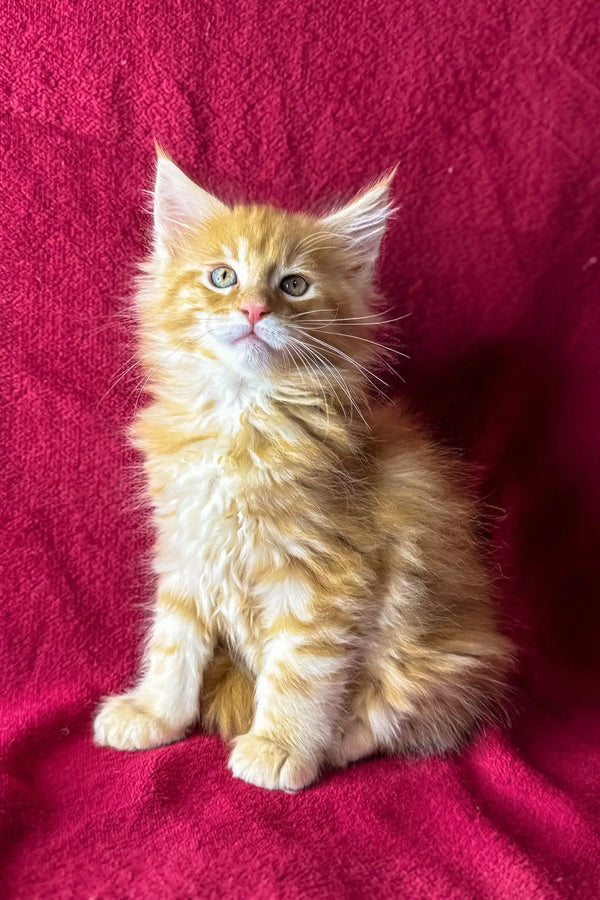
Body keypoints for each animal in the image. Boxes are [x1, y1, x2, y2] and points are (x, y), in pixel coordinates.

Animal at [94, 151, 516, 792]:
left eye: (294, 284)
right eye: (223, 276)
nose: (253, 310)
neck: (242, 414)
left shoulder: (325, 573)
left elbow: (301, 671)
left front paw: (280, 745)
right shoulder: (190, 550)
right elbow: (172, 643)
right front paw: (155, 713)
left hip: (432, 652)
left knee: (413, 712)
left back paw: (338, 741)